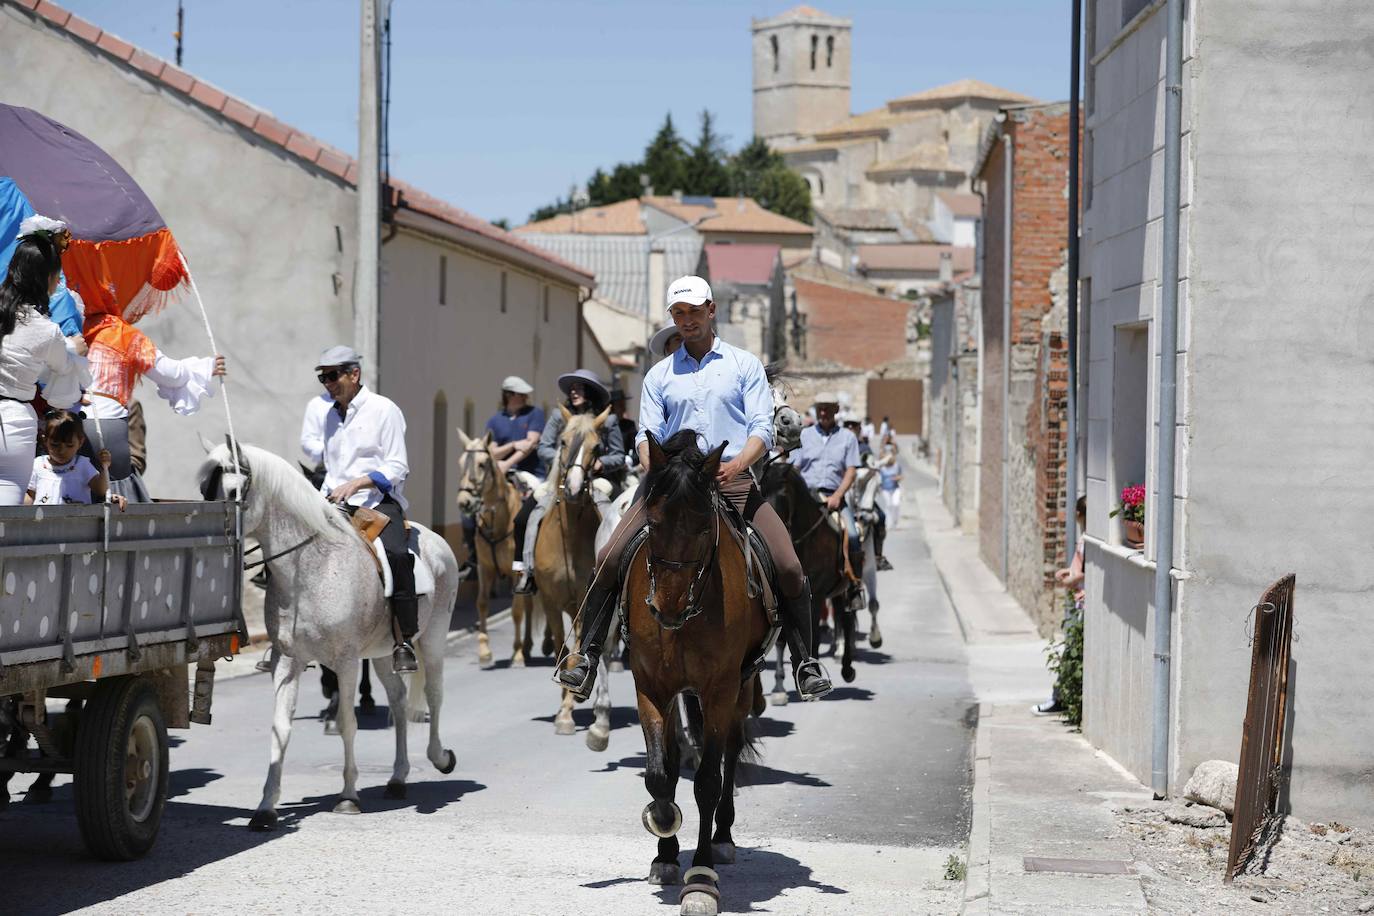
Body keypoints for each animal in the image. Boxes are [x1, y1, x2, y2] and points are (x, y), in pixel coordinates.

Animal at [196, 444, 461, 829]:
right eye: (204, 491)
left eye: (232, 493)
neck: (311, 568)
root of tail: (437, 540)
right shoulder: (287, 662)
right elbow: (280, 728)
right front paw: (266, 807)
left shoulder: (347, 662)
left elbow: (347, 723)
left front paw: (348, 796)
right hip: (384, 652)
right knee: (398, 701)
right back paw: (398, 778)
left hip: (433, 639)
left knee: (435, 695)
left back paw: (440, 758)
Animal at [453, 431, 533, 667]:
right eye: (461, 462)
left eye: (482, 464)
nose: (464, 502)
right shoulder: (484, 568)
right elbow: (481, 603)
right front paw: (484, 652)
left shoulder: (517, 572)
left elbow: (516, 611)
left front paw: (517, 654)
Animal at [626, 431, 774, 916]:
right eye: (652, 523)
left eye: (704, 528)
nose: (667, 608)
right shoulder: (652, 686)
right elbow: (661, 772)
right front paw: (664, 841)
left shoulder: (719, 689)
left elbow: (707, 782)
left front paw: (701, 878)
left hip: (739, 688)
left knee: (729, 750)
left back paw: (723, 837)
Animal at [752, 458, 857, 694]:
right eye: (762, 490)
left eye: (782, 492)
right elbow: (783, 638)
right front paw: (780, 685)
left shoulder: (815, 595)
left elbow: (814, 634)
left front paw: (814, 672)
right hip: (836, 591)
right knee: (840, 615)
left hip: (846, 586)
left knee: (846, 620)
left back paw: (847, 668)